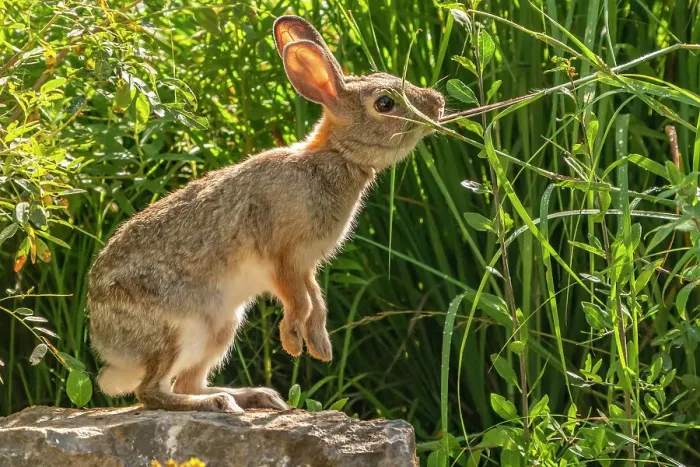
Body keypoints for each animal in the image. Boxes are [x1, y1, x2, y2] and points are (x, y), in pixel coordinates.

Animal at [87, 15, 445, 413]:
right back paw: (218, 403)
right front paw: (292, 341)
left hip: (220, 328)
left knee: (186, 381)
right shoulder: (281, 255)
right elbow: (299, 300)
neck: (335, 156)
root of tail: (107, 343)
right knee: (151, 392)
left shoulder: (305, 265)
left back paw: (253, 396)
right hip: (179, 328)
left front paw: (319, 347)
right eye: (385, 103)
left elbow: (316, 301)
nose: (438, 103)